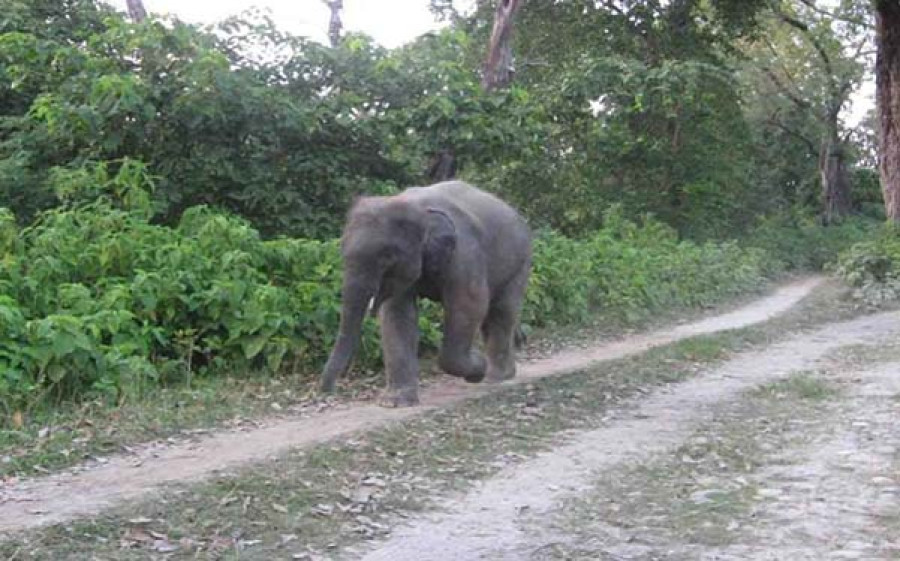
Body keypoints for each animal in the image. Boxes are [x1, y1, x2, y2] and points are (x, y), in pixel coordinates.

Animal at [320, 180, 532, 407]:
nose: (330, 391)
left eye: (387, 257)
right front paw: (396, 403)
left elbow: (469, 305)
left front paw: (477, 368)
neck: (418, 209)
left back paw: (495, 377)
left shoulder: (465, 254)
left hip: (521, 261)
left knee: (501, 311)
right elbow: (397, 314)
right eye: (342, 253)